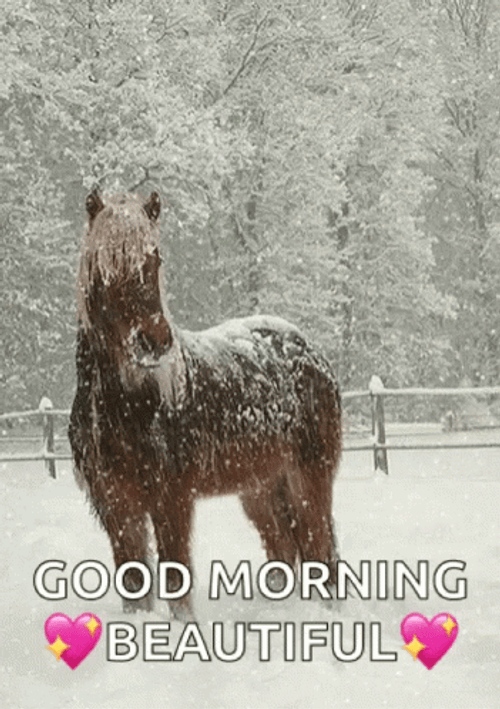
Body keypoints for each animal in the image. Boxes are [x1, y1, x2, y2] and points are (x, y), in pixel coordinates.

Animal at [69, 190, 342, 619]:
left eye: (156, 259)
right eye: (106, 261)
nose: (154, 341)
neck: (127, 405)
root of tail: (310, 350)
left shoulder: (171, 499)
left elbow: (175, 581)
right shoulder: (116, 506)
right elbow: (134, 585)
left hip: (307, 477)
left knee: (320, 550)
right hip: (261, 487)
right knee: (283, 549)